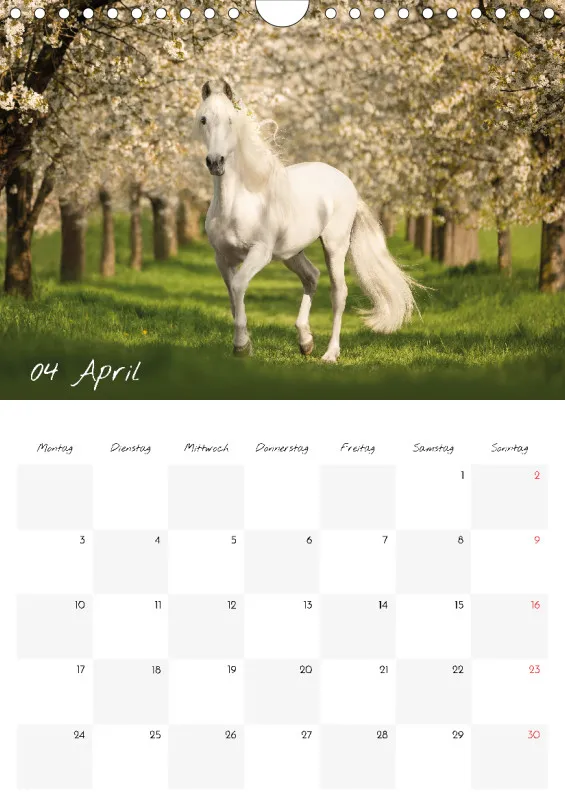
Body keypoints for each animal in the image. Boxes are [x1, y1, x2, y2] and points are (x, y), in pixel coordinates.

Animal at [195, 79, 417, 362]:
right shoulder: (222, 258)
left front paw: (242, 347)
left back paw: (330, 353)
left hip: (334, 246)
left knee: (338, 292)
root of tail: (347, 183)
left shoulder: (260, 253)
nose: (215, 162)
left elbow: (238, 285)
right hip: (291, 253)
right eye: (203, 119)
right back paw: (306, 341)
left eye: (231, 120)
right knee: (311, 276)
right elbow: (234, 297)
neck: (236, 203)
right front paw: (245, 346)